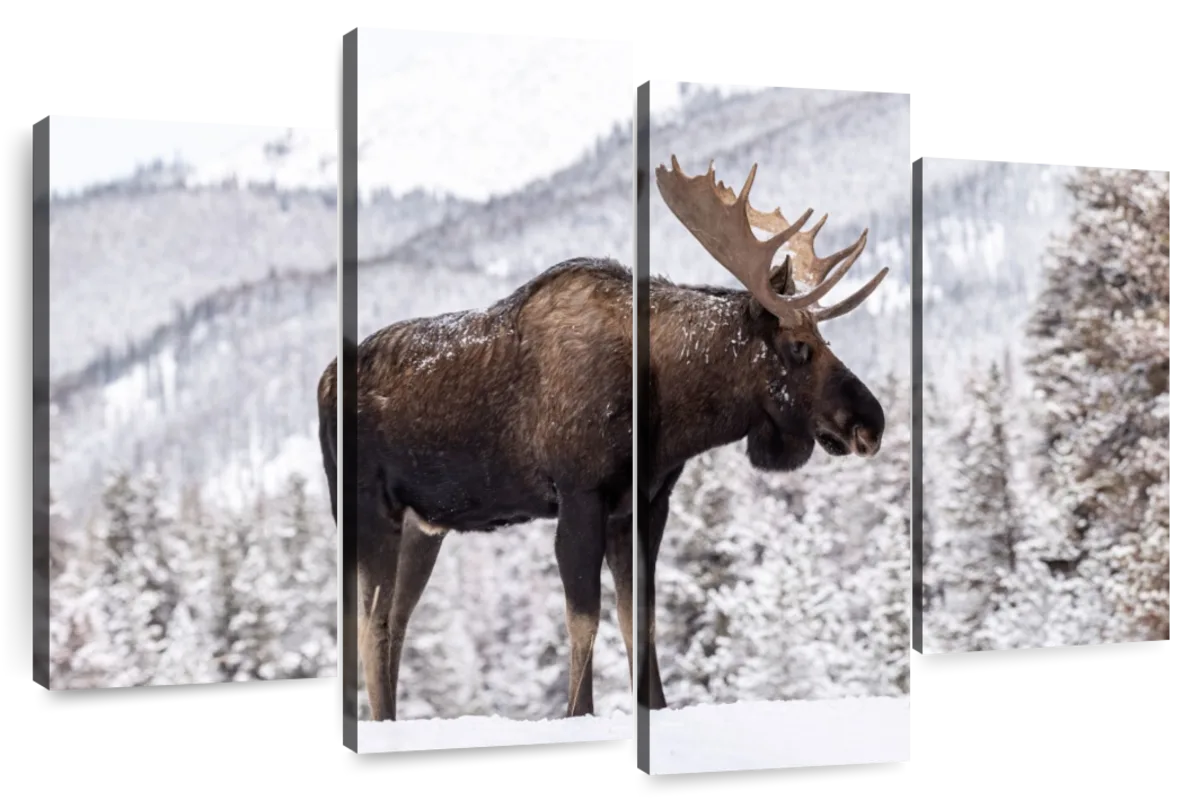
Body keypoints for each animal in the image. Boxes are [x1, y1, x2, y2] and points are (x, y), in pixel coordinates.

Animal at [318, 257, 635, 721]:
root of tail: (323, 384)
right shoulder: (585, 495)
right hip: (367, 506)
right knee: (371, 624)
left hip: (421, 527)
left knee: (394, 619)